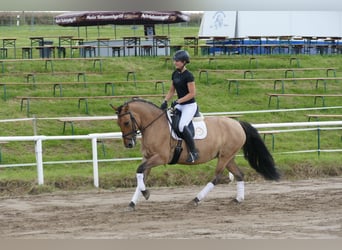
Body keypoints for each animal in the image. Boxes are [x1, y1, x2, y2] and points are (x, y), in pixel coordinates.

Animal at [112, 98, 280, 210]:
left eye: (126, 122)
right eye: (118, 123)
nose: (128, 144)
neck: (154, 125)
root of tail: (237, 123)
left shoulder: (160, 158)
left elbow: (139, 170)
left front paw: (145, 193)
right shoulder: (148, 158)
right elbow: (141, 175)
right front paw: (133, 202)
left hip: (224, 157)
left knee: (217, 177)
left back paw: (196, 199)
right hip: (228, 157)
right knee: (239, 174)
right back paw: (238, 199)